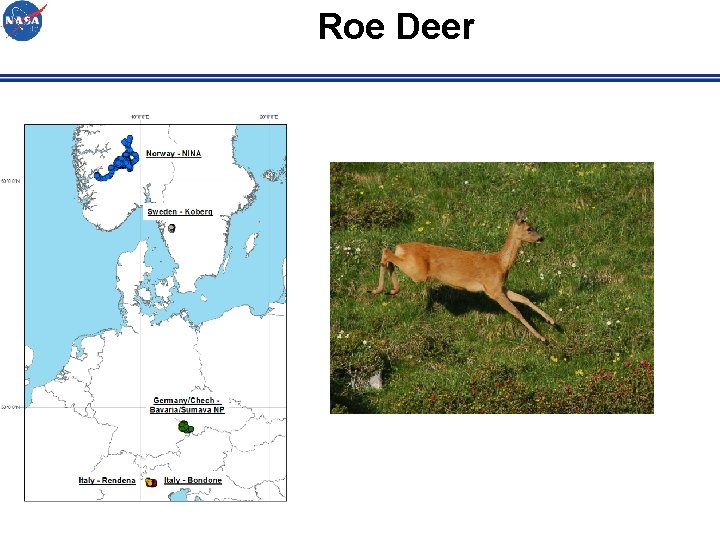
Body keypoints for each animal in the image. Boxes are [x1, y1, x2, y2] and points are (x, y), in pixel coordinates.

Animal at [370, 208, 556, 342]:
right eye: (529, 228)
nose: (542, 237)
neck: (500, 263)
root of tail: (401, 247)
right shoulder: (493, 290)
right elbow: (516, 311)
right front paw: (542, 337)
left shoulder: (501, 287)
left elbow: (525, 299)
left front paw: (552, 321)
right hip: (417, 272)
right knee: (385, 251)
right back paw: (380, 289)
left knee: (389, 257)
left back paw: (390, 290)